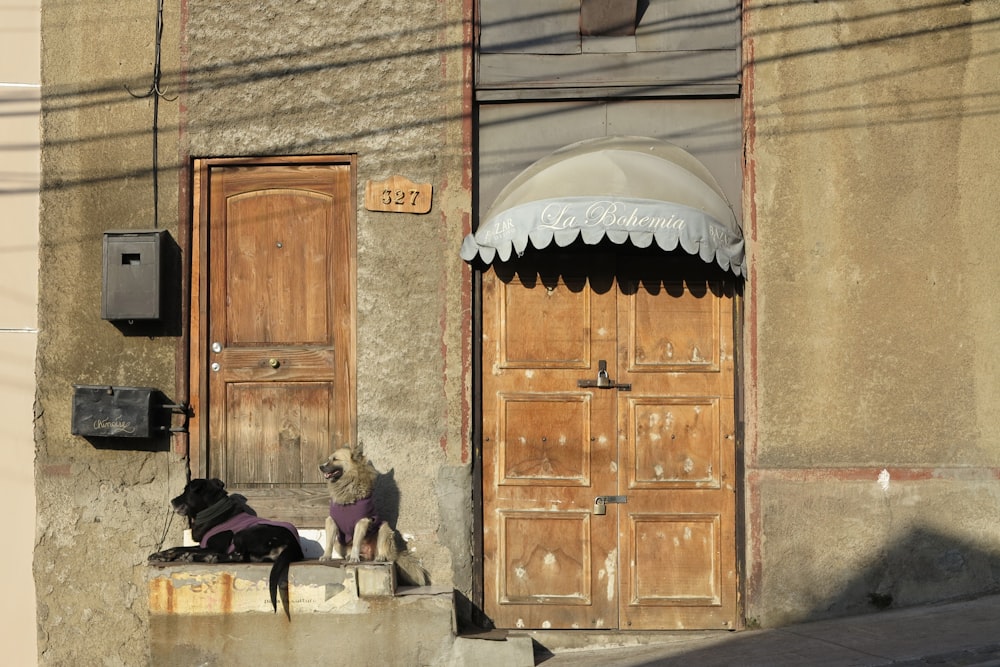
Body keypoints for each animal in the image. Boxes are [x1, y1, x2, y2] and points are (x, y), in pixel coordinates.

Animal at [148, 478, 302, 620]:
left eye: (186, 491)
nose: (172, 501)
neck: (212, 511)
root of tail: (294, 546)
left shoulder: (215, 547)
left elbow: (184, 549)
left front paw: (173, 555)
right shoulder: (203, 544)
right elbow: (178, 547)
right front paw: (160, 554)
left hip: (243, 533)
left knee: (238, 556)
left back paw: (206, 557)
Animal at [320, 446, 430, 588]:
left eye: (335, 459)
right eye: (329, 459)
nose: (320, 467)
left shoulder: (362, 521)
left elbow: (356, 542)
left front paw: (354, 557)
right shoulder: (331, 521)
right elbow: (328, 542)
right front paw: (326, 556)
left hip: (384, 528)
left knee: (384, 551)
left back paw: (379, 557)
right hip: (339, 542)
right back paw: (353, 556)